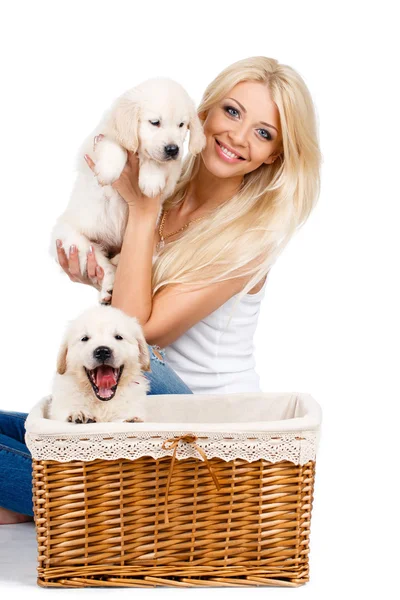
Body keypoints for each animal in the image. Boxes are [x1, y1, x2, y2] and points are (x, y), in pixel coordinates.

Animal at [51, 77, 205, 304]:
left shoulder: (173, 172)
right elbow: (115, 145)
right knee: (101, 264)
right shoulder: (99, 139)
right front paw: (108, 171)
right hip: (73, 241)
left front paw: (151, 180)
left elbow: (157, 162)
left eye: (181, 125)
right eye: (155, 122)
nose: (172, 149)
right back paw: (108, 288)